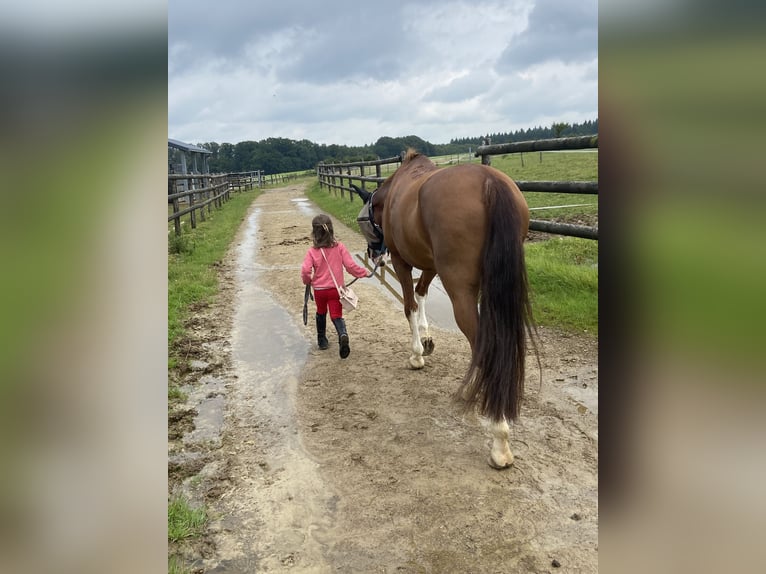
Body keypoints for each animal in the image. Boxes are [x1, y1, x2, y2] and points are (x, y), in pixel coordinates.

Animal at [354, 151, 540, 470]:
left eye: (366, 221)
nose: (374, 254)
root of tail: (489, 181)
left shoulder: (403, 262)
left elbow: (409, 305)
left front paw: (417, 354)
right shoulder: (430, 264)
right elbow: (422, 293)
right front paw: (427, 339)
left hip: (460, 289)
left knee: (483, 345)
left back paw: (498, 435)